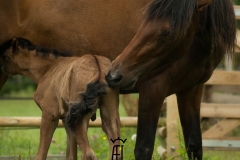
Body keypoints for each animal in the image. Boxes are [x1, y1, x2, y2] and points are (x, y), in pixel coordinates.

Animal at [105, 0, 236, 159]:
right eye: (143, 23)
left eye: (167, 33)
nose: (114, 75)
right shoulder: (152, 89)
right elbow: (144, 148)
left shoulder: (192, 90)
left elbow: (194, 146)